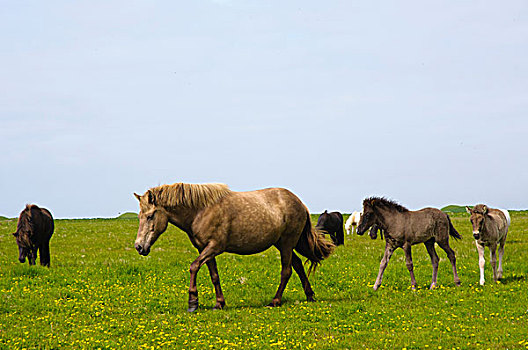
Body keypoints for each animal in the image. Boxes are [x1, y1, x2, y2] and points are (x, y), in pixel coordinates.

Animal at [135, 183, 334, 312]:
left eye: (150, 216)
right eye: (139, 216)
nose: (139, 247)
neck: (201, 211)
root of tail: (300, 202)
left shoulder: (214, 247)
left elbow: (193, 267)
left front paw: (193, 302)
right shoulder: (205, 250)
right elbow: (214, 276)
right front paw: (219, 304)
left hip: (286, 243)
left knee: (287, 271)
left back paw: (275, 301)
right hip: (282, 244)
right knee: (298, 265)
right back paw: (310, 296)